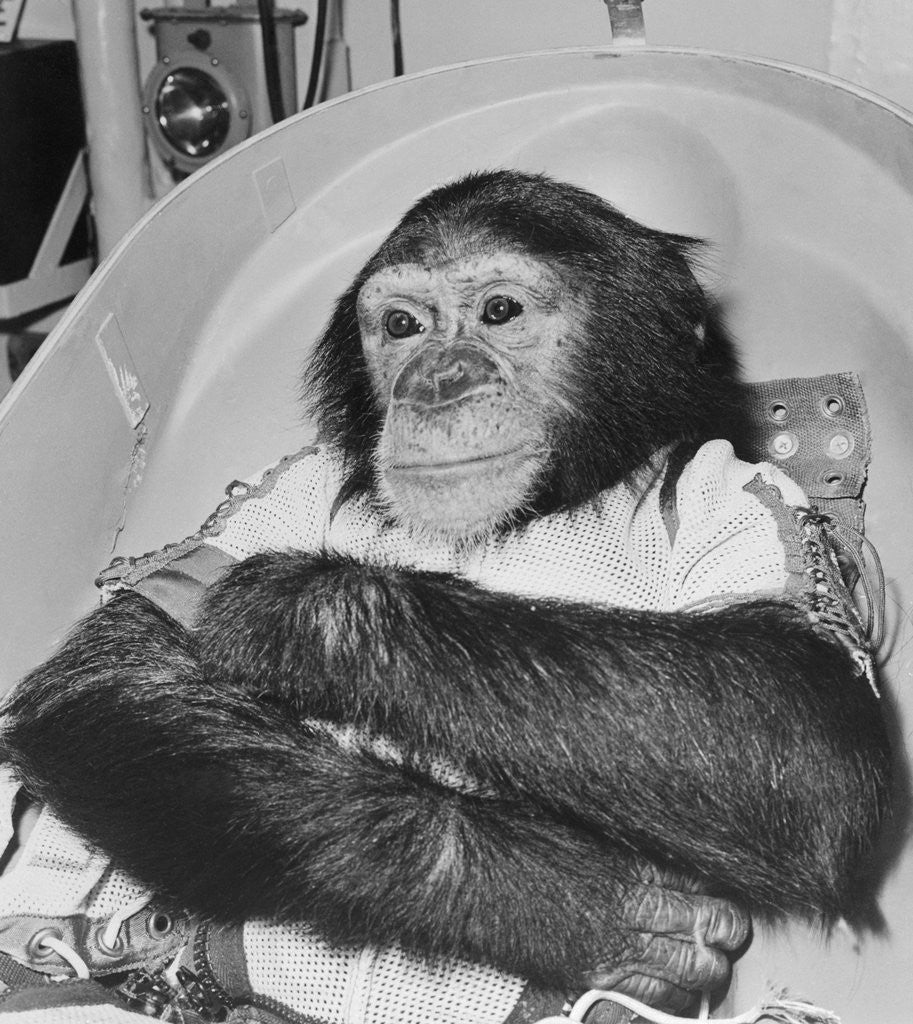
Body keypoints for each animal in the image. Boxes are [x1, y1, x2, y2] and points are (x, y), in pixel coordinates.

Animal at [0, 170, 892, 1022]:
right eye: (401, 326)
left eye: (499, 311)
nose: (435, 380)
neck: (539, 504)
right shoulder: (282, 483)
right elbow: (122, 669)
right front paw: (564, 901)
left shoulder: (748, 498)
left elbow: (796, 717)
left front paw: (293, 608)